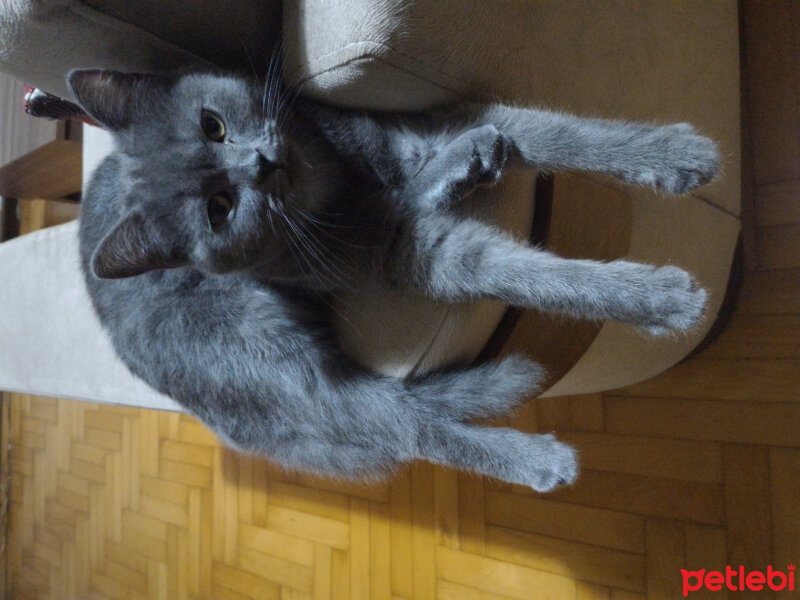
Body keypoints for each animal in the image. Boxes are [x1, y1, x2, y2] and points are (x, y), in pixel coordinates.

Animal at [70, 69, 720, 492]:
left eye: (213, 124)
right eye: (218, 209)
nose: (260, 163)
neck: (332, 179)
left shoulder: (427, 129)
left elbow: (559, 133)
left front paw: (678, 154)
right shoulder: (408, 251)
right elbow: (524, 273)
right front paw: (663, 300)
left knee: (404, 410)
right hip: (270, 354)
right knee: (401, 429)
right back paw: (538, 461)